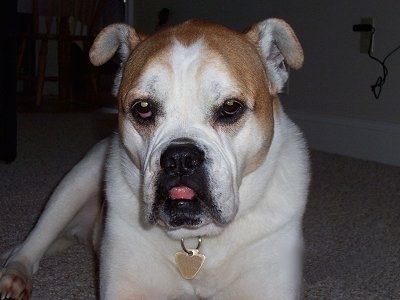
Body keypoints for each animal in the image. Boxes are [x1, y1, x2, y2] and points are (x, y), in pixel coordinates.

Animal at [0, 17, 310, 298]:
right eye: (143, 108)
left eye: (231, 107)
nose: (180, 158)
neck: (193, 241)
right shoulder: (124, 286)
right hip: (73, 186)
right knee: (29, 246)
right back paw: (14, 275)